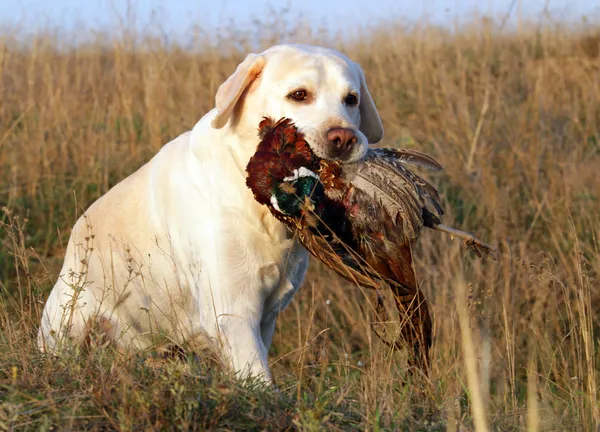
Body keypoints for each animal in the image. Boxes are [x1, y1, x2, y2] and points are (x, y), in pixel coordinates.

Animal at [38, 43, 384, 382]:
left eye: (351, 99)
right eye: (299, 94)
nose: (344, 138)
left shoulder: (266, 316)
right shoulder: (232, 311)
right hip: (66, 328)